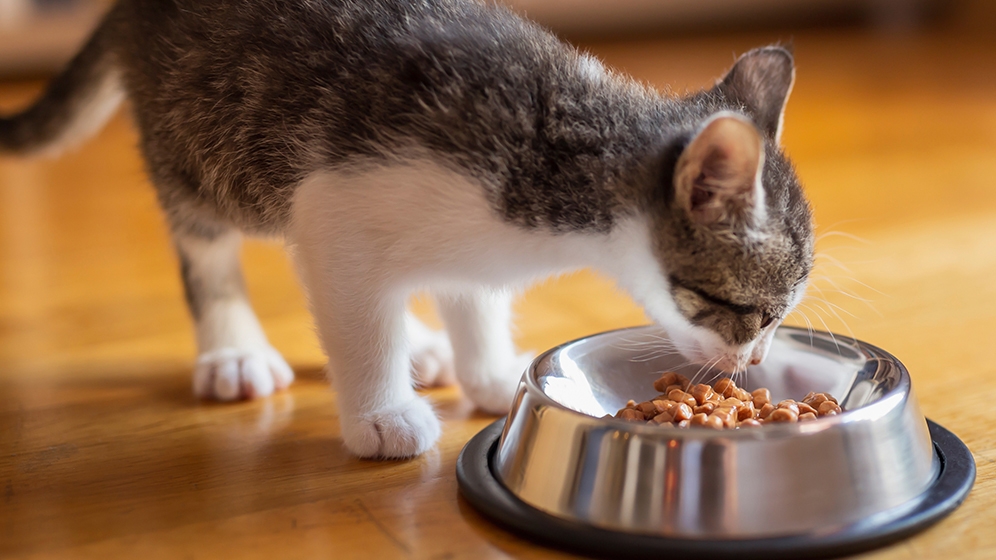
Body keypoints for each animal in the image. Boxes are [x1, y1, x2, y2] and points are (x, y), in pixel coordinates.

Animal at [0, 0, 812, 460]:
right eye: (752, 312)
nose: (754, 361)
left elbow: (470, 293)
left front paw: (488, 371)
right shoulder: (337, 201)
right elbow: (356, 313)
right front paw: (381, 415)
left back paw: (421, 343)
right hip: (203, 140)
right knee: (207, 243)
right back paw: (235, 350)